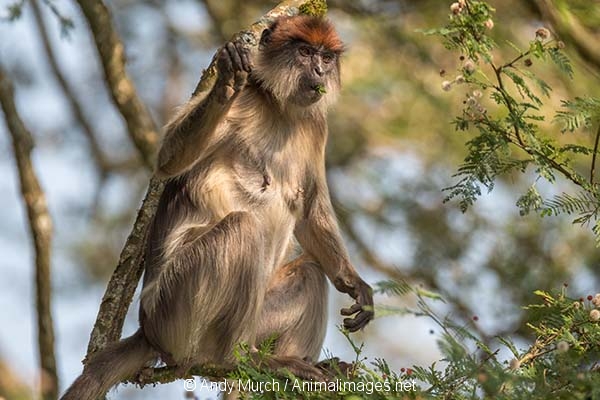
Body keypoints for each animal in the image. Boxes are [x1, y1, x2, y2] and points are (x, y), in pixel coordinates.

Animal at [59, 14, 370, 398]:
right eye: (305, 52)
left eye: (325, 57)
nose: (318, 70)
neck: (278, 106)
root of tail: (148, 331)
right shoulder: (247, 101)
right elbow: (168, 161)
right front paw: (225, 82)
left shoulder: (315, 123)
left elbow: (310, 211)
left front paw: (353, 283)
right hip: (177, 312)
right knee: (243, 227)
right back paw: (240, 358)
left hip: (255, 316)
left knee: (310, 270)